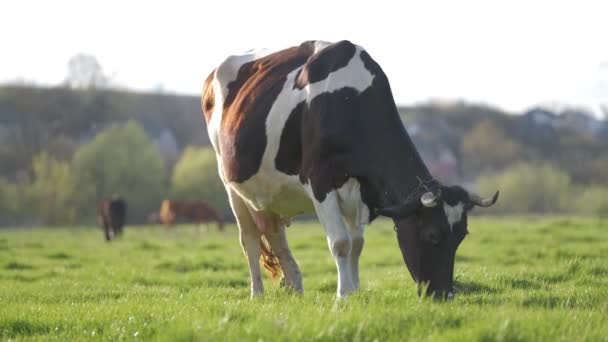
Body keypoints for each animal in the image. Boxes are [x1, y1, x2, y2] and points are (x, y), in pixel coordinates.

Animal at [202, 38, 496, 298]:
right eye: (432, 235)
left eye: (461, 236)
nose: (445, 295)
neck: (346, 100)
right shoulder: (319, 181)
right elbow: (341, 243)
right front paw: (342, 296)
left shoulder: (362, 190)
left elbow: (357, 245)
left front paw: (354, 292)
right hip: (231, 186)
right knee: (249, 240)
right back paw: (257, 293)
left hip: (270, 193)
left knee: (275, 234)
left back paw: (295, 288)